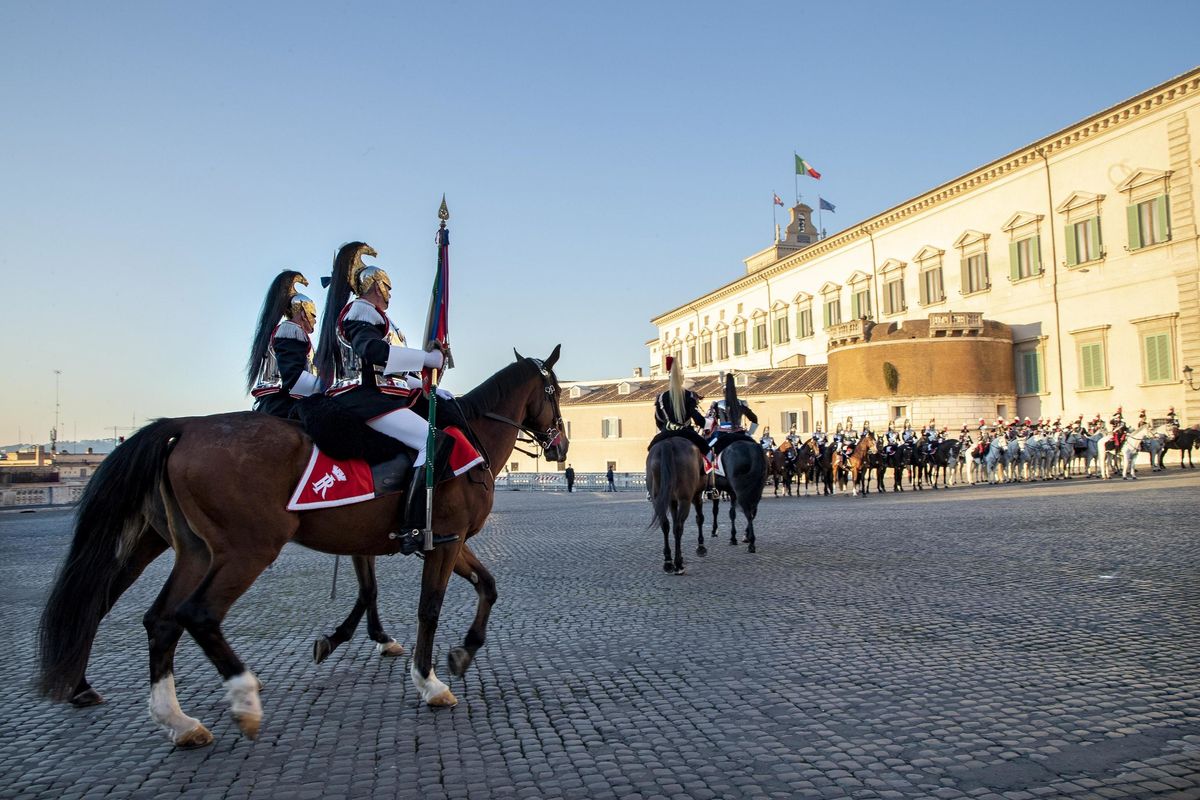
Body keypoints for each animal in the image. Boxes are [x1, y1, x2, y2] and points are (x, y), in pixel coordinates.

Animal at [32, 347, 566, 748]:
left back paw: (178, 721)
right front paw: (428, 680)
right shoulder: (440, 542)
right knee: (193, 613)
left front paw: (461, 653)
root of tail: (186, 427)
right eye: (553, 391)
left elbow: (486, 587)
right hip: (245, 549)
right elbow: (427, 608)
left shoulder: (445, 542)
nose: (559, 446)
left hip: (195, 551)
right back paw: (243, 698)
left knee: (160, 618)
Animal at [652, 434, 705, 573]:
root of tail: (668, 443)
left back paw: (668, 562)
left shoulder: (672, 501)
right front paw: (701, 547)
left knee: (665, 524)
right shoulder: (696, 496)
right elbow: (699, 518)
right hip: (686, 499)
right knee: (678, 527)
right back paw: (678, 564)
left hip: (658, 499)